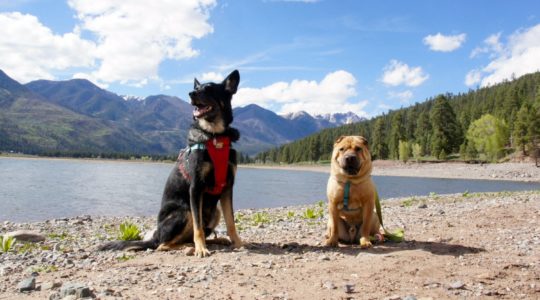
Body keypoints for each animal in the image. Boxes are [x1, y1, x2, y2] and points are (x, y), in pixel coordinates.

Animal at [100, 69, 244, 255]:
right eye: (196, 88)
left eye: (209, 89)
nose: (191, 93)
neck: (215, 136)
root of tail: (155, 236)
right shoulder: (195, 188)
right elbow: (198, 228)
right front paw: (201, 249)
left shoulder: (227, 187)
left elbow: (231, 222)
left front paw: (238, 243)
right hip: (184, 211)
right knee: (163, 244)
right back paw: (190, 246)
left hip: (215, 212)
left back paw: (217, 240)